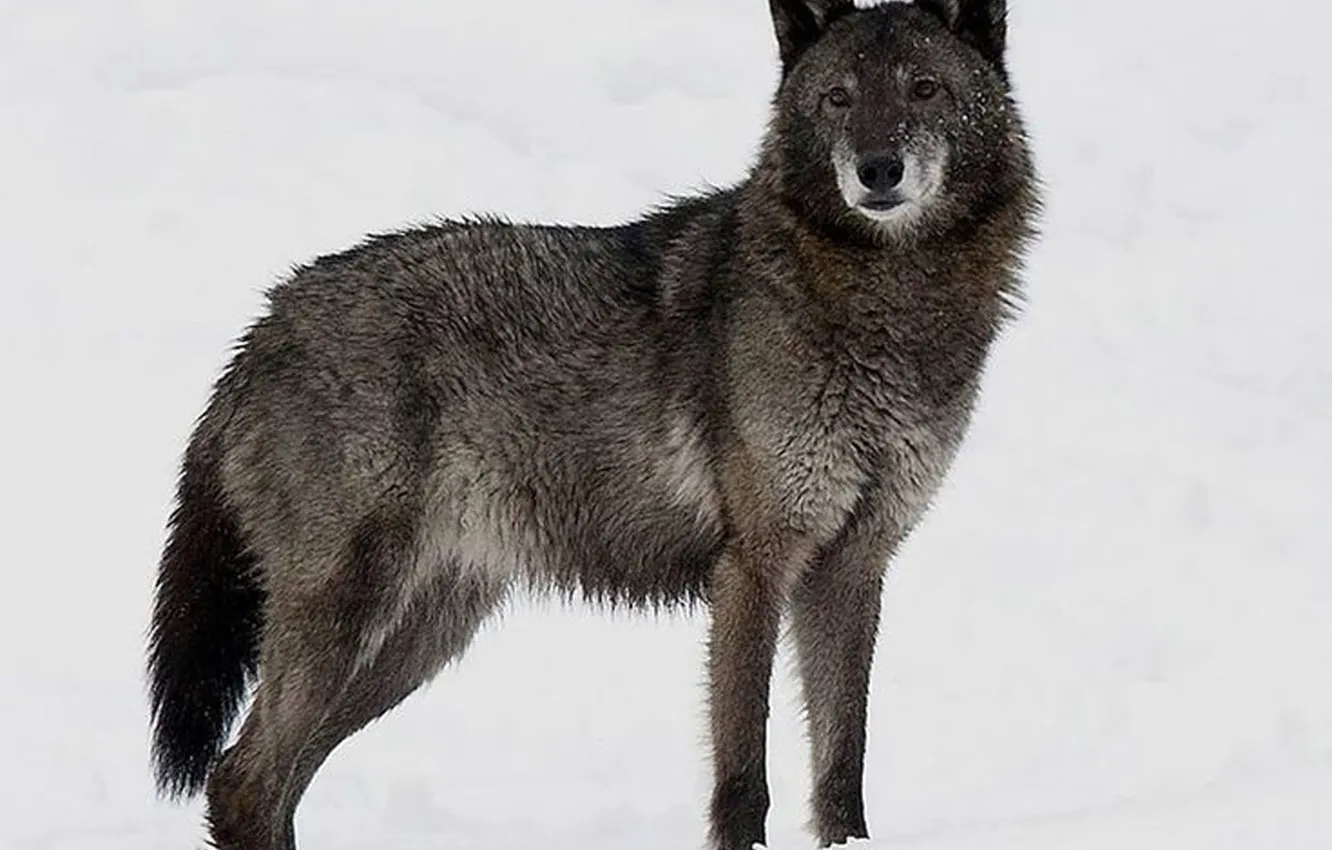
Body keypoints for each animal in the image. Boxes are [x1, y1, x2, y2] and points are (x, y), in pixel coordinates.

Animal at [147, 0, 1037, 847]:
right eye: (838, 98)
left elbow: (841, 766)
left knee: (272, 783)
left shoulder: (854, 564)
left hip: (420, 638)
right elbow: (743, 775)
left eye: (924, 89)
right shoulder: (754, 563)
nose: (876, 171)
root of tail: (265, 326)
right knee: (245, 781)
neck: (877, 306)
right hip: (353, 613)